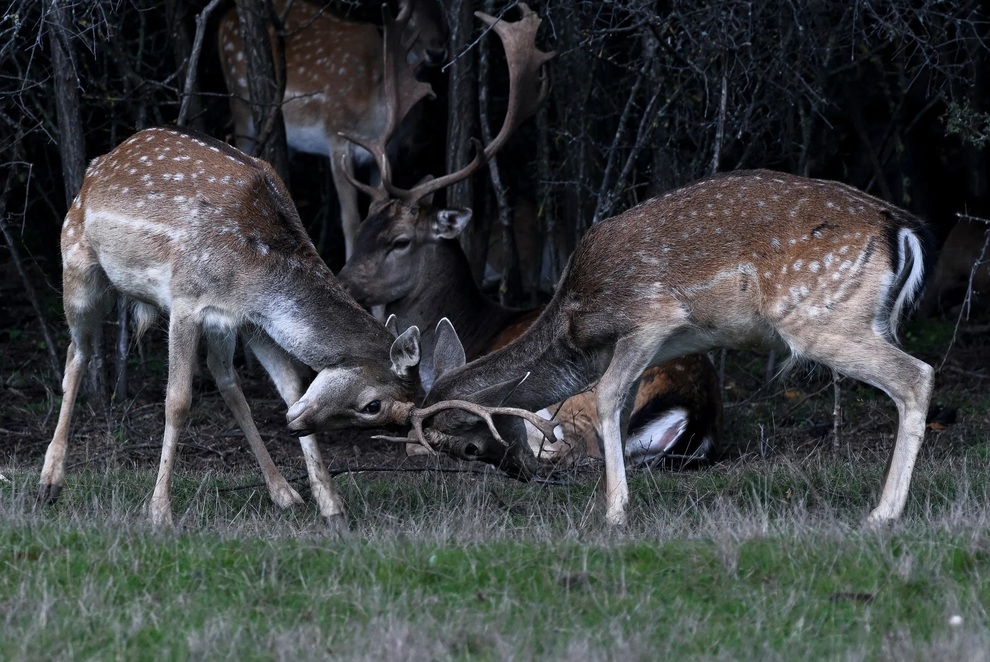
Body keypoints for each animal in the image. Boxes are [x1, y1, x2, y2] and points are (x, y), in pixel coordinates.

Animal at [41, 127, 422, 532]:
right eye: (373, 406)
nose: (297, 426)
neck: (255, 266)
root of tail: (96, 166)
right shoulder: (185, 299)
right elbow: (177, 401)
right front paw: (159, 512)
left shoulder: (251, 318)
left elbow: (291, 386)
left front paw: (333, 507)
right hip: (77, 263)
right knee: (77, 351)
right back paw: (49, 482)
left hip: (220, 326)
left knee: (224, 376)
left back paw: (284, 493)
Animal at [220, 0, 450, 260]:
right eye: (403, 8)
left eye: (444, 9)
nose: (437, 51)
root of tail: (225, 18)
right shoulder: (338, 139)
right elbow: (350, 220)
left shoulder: (384, 155)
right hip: (240, 107)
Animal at [406, 171, 940, 528]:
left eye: (469, 445)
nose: (520, 474)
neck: (577, 329)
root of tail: (902, 229)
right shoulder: (657, 348)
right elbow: (619, 411)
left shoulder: (650, 316)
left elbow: (606, 398)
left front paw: (615, 513)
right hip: (862, 319)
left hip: (820, 318)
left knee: (918, 375)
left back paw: (883, 513)